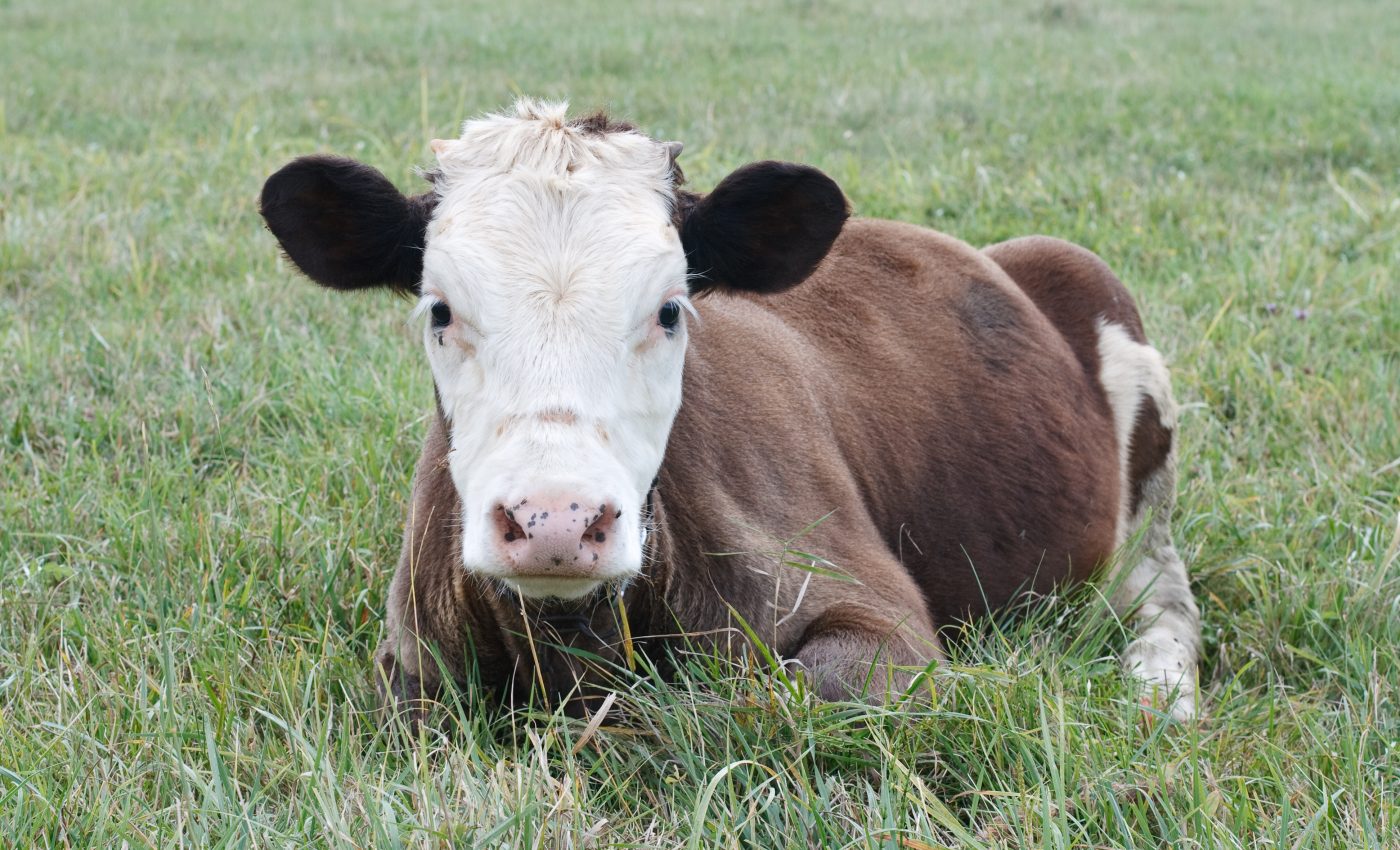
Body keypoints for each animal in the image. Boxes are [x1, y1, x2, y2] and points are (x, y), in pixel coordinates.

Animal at [259, 100, 1201, 723]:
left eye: (671, 309)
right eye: (440, 310)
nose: (556, 520)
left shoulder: (882, 620)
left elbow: (778, 693)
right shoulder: (411, 663)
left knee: (1164, 596)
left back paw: (1160, 688)